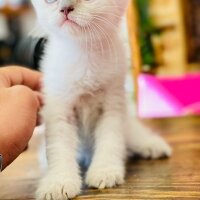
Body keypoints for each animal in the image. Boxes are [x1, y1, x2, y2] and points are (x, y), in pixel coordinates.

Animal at [30, 0, 172, 199]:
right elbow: (59, 148)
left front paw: (105, 171)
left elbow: (110, 139)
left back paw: (153, 146)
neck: (84, 52)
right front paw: (58, 182)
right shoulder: (58, 107)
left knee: (135, 136)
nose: (65, 8)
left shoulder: (113, 102)